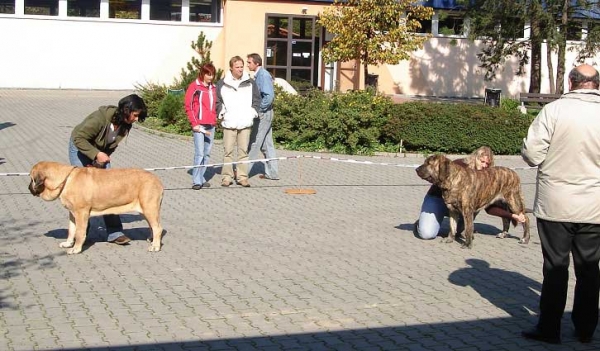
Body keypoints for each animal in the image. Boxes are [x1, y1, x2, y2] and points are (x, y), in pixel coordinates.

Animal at [28, 162, 164, 256]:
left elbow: (79, 233)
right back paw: (151, 240)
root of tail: (157, 180)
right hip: (146, 210)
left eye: (32, 179)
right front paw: (68, 243)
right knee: (152, 226)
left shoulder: (81, 213)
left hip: (149, 208)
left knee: (157, 228)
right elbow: (71, 230)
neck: (65, 180)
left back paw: (155, 246)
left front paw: (76, 249)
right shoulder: (72, 214)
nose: (28, 188)